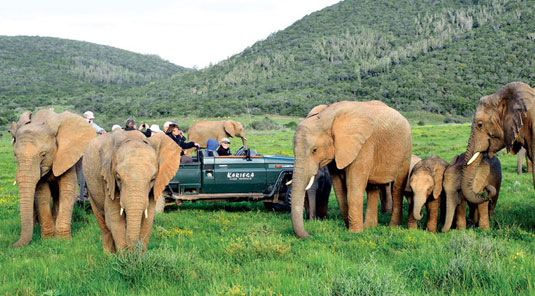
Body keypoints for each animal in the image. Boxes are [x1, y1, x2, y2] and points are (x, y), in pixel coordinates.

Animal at [7, 110, 96, 246]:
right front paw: (48, 239)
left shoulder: (67, 156)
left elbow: (67, 190)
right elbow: (42, 194)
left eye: (43, 155)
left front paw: (63, 240)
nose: (11, 245)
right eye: (15, 155)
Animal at [292, 100, 412, 237]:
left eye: (314, 150)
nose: (310, 235)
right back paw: (369, 227)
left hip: (405, 149)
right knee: (372, 188)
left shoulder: (363, 145)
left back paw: (393, 227)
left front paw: (354, 233)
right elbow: (339, 187)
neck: (327, 117)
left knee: (397, 188)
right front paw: (349, 228)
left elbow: (354, 185)